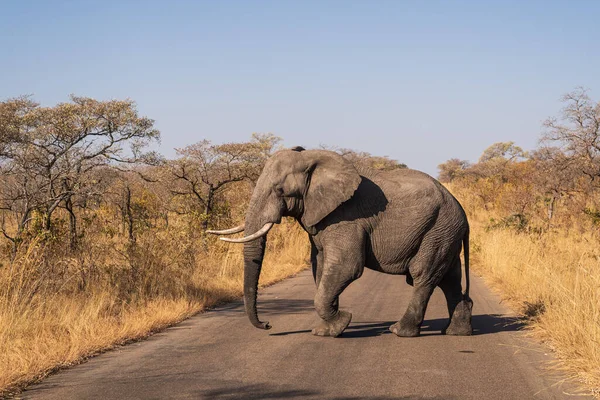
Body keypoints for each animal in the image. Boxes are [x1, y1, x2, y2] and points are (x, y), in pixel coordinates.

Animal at [207, 147, 474, 338]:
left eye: (280, 190)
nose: (268, 325)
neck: (310, 158)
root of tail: (462, 211)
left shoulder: (346, 217)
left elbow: (347, 266)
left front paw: (340, 323)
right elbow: (321, 265)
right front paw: (327, 330)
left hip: (438, 229)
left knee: (422, 276)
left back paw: (400, 331)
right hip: (444, 233)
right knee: (448, 278)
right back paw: (457, 331)